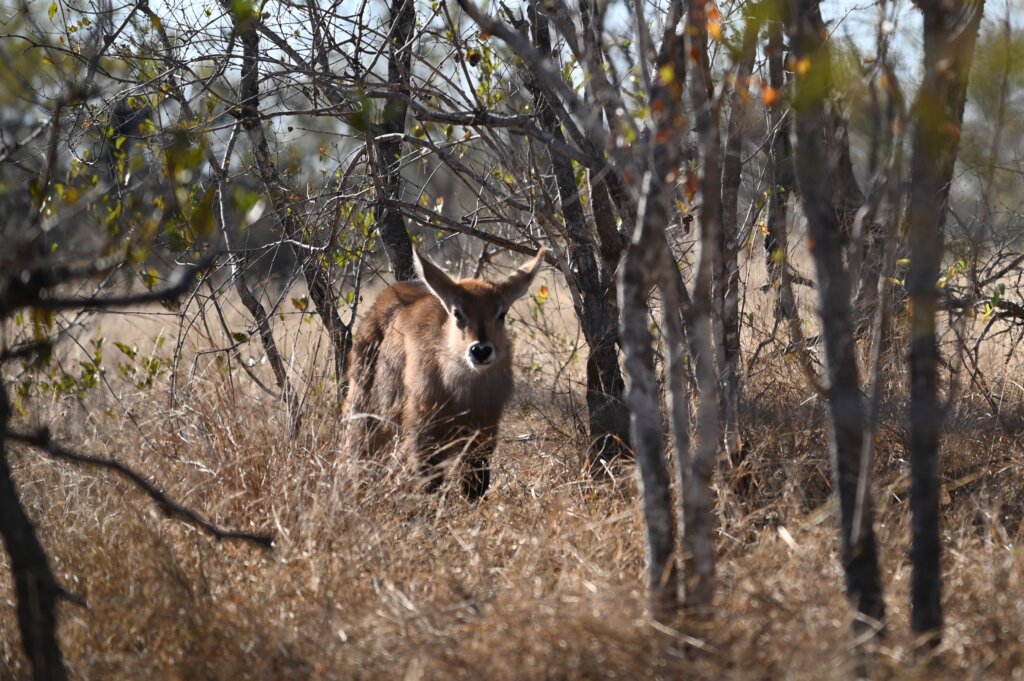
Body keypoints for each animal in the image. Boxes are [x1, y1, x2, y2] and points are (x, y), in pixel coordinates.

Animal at [346, 245, 544, 499]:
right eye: (458, 313)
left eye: (501, 313)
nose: (481, 350)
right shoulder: (424, 433)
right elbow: (429, 484)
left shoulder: (482, 434)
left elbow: (475, 487)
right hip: (365, 410)